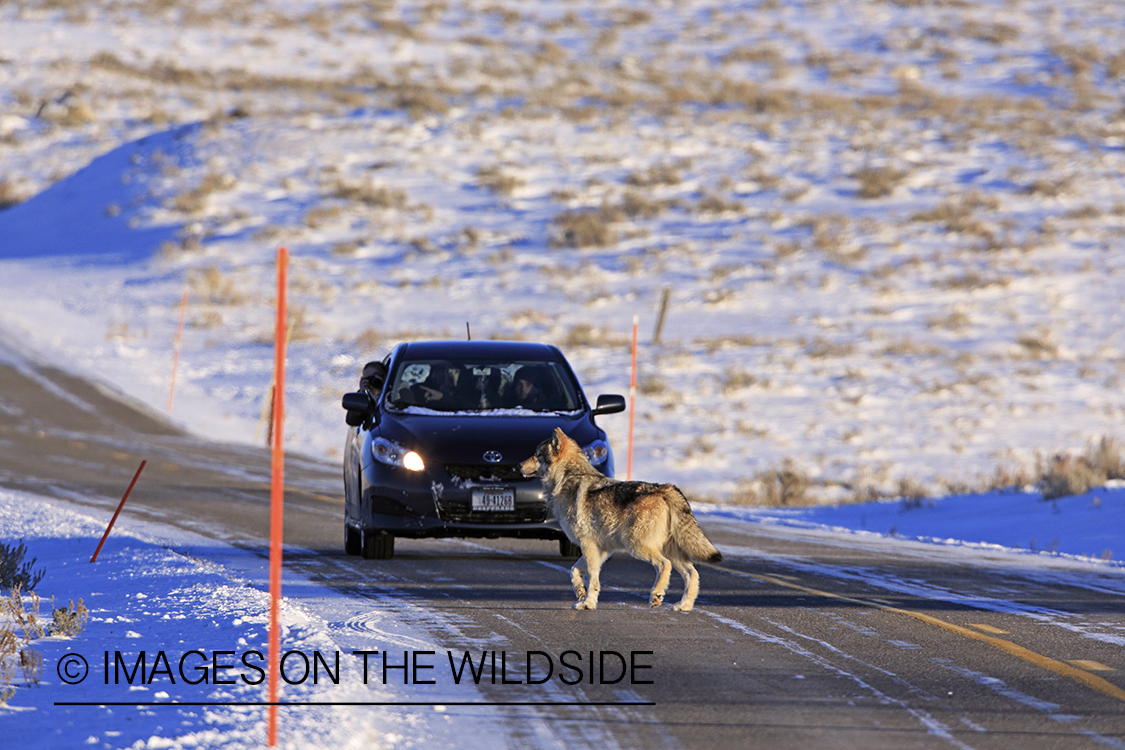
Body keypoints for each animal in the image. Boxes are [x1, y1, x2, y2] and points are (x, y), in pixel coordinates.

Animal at [520, 428, 722, 612]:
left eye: (537, 455)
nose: (518, 466)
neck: (568, 477)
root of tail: (666, 489)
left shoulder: (588, 544)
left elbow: (592, 578)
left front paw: (587, 603)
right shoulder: (601, 548)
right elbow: (575, 571)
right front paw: (580, 594)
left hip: (635, 545)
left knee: (665, 564)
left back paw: (656, 595)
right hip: (668, 549)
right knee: (692, 573)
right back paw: (684, 605)